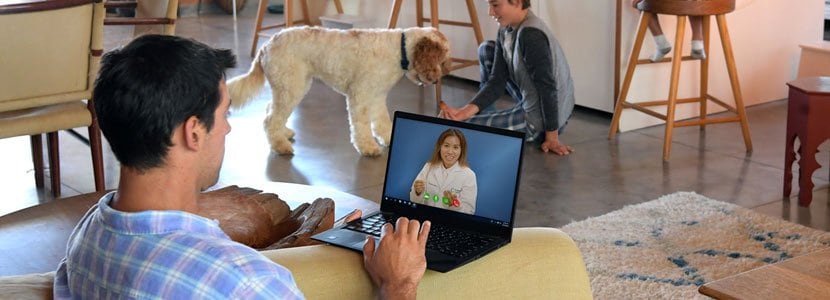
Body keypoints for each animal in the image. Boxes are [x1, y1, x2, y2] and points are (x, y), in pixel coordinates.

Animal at [228, 25, 452, 156]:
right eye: (440, 58)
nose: (436, 79)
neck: (399, 50)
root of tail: (266, 45)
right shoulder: (360, 96)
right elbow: (361, 126)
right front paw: (368, 147)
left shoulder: (377, 97)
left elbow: (382, 122)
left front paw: (389, 139)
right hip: (291, 88)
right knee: (270, 120)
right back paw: (280, 146)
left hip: (292, 87)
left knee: (271, 110)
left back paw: (285, 133)